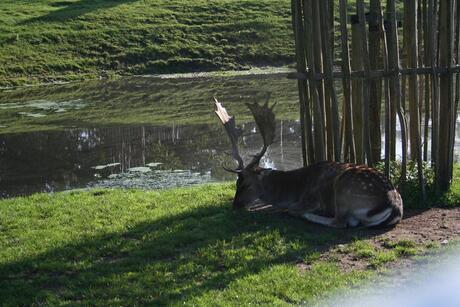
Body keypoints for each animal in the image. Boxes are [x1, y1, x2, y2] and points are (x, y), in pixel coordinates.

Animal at [215, 98, 402, 229]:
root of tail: (394, 206)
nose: (235, 205)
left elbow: (292, 208)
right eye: (236, 183)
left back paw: (306, 215)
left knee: (340, 222)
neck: (293, 190)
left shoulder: (311, 199)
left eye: (246, 184)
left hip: (343, 191)